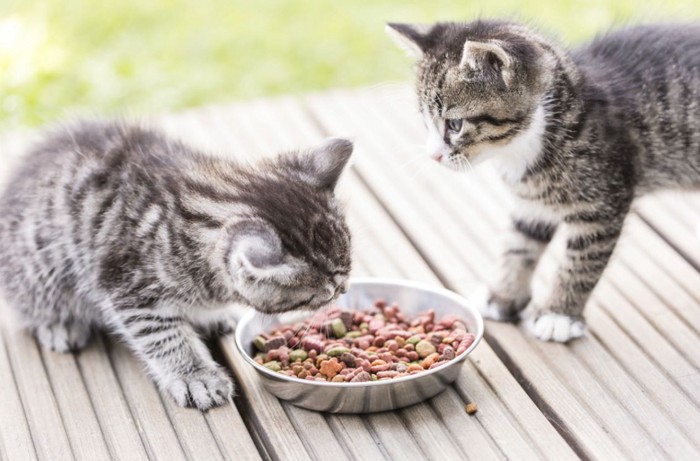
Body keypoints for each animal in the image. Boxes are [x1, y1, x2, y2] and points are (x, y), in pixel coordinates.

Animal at [0, 120, 352, 408]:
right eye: (324, 294)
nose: (345, 291)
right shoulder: (128, 287)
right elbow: (164, 336)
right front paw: (195, 376)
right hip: (41, 267)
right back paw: (58, 323)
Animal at [388, 18, 700, 342]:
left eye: (455, 124)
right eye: (426, 123)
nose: (433, 156)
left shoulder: (605, 201)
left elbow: (582, 260)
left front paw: (559, 314)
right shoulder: (532, 202)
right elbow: (518, 245)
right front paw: (503, 296)